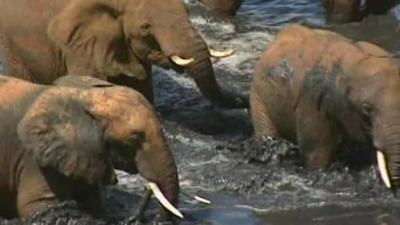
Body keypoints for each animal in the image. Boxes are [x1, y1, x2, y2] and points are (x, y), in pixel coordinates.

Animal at [0, 74, 180, 223]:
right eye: (134, 138)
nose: (148, 187)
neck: (83, 96)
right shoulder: (34, 159)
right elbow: (44, 207)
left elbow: (93, 205)